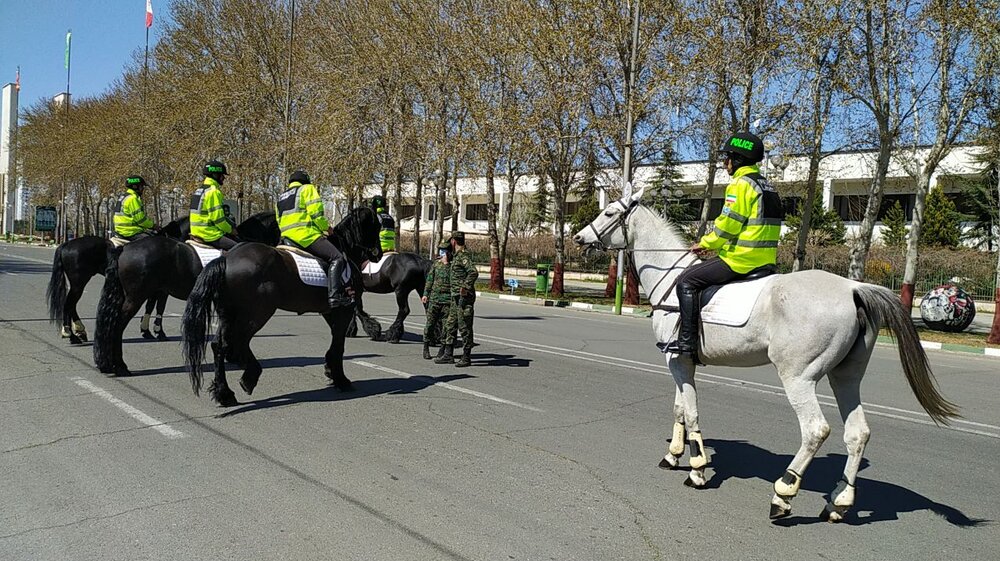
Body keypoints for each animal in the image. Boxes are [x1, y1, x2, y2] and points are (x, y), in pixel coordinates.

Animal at [44, 218, 191, 342]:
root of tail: (66, 244)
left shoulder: (154, 288)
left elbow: (150, 306)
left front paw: (146, 330)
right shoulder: (161, 289)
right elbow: (159, 307)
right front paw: (158, 332)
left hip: (77, 284)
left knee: (71, 305)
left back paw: (79, 332)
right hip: (78, 283)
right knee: (69, 304)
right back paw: (71, 334)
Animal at [180, 208, 382, 404]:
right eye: (377, 226)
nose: (379, 254)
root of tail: (227, 258)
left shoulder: (330, 312)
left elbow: (335, 344)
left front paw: (332, 372)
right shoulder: (343, 310)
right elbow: (339, 345)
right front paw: (341, 380)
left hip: (228, 314)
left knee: (220, 345)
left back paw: (225, 393)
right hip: (257, 313)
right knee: (238, 340)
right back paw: (249, 377)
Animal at [572, 188, 960, 520]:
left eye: (609, 212)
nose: (578, 238)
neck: (672, 277)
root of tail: (853, 288)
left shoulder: (677, 360)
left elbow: (691, 412)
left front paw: (697, 470)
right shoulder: (682, 364)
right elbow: (680, 408)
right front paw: (674, 455)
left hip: (798, 378)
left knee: (815, 430)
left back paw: (784, 493)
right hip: (845, 377)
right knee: (858, 433)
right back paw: (840, 502)